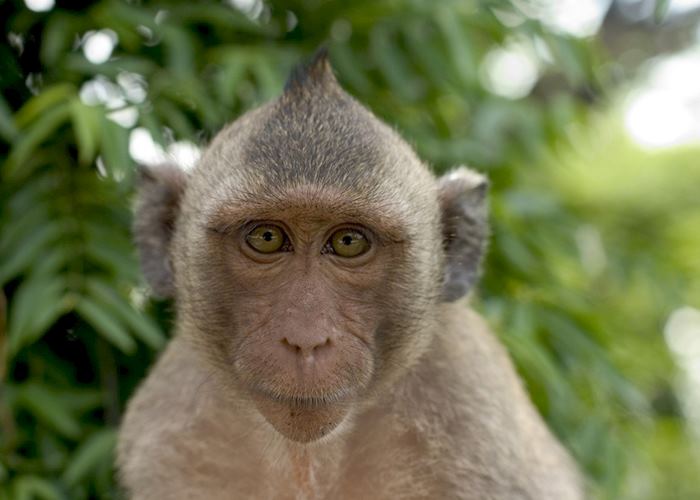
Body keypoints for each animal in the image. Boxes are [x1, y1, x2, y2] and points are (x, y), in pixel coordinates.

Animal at [117, 51, 585, 500]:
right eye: (267, 237)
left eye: (348, 242)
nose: (306, 339)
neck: (308, 458)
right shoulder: (169, 435)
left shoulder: (473, 421)